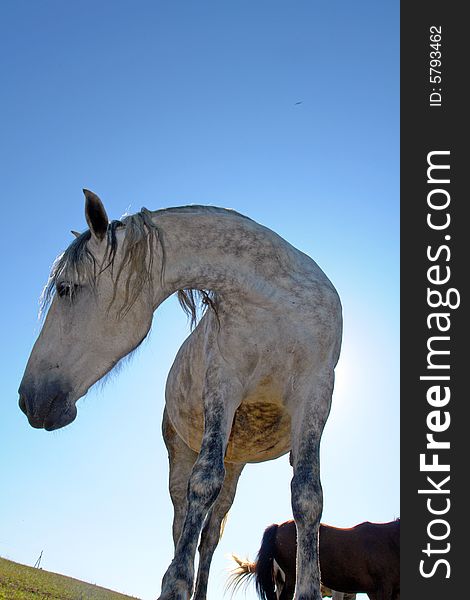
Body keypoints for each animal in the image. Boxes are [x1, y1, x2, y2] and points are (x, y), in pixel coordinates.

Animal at [19, 191, 342, 600]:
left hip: (236, 466)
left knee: (211, 534)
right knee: (182, 519)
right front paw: (174, 585)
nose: (29, 399)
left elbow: (307, 495)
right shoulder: (223, 385)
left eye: (65, 288)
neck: (276, 305)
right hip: (180, 454)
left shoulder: (316, 394)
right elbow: (202, 483)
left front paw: (309, 589)